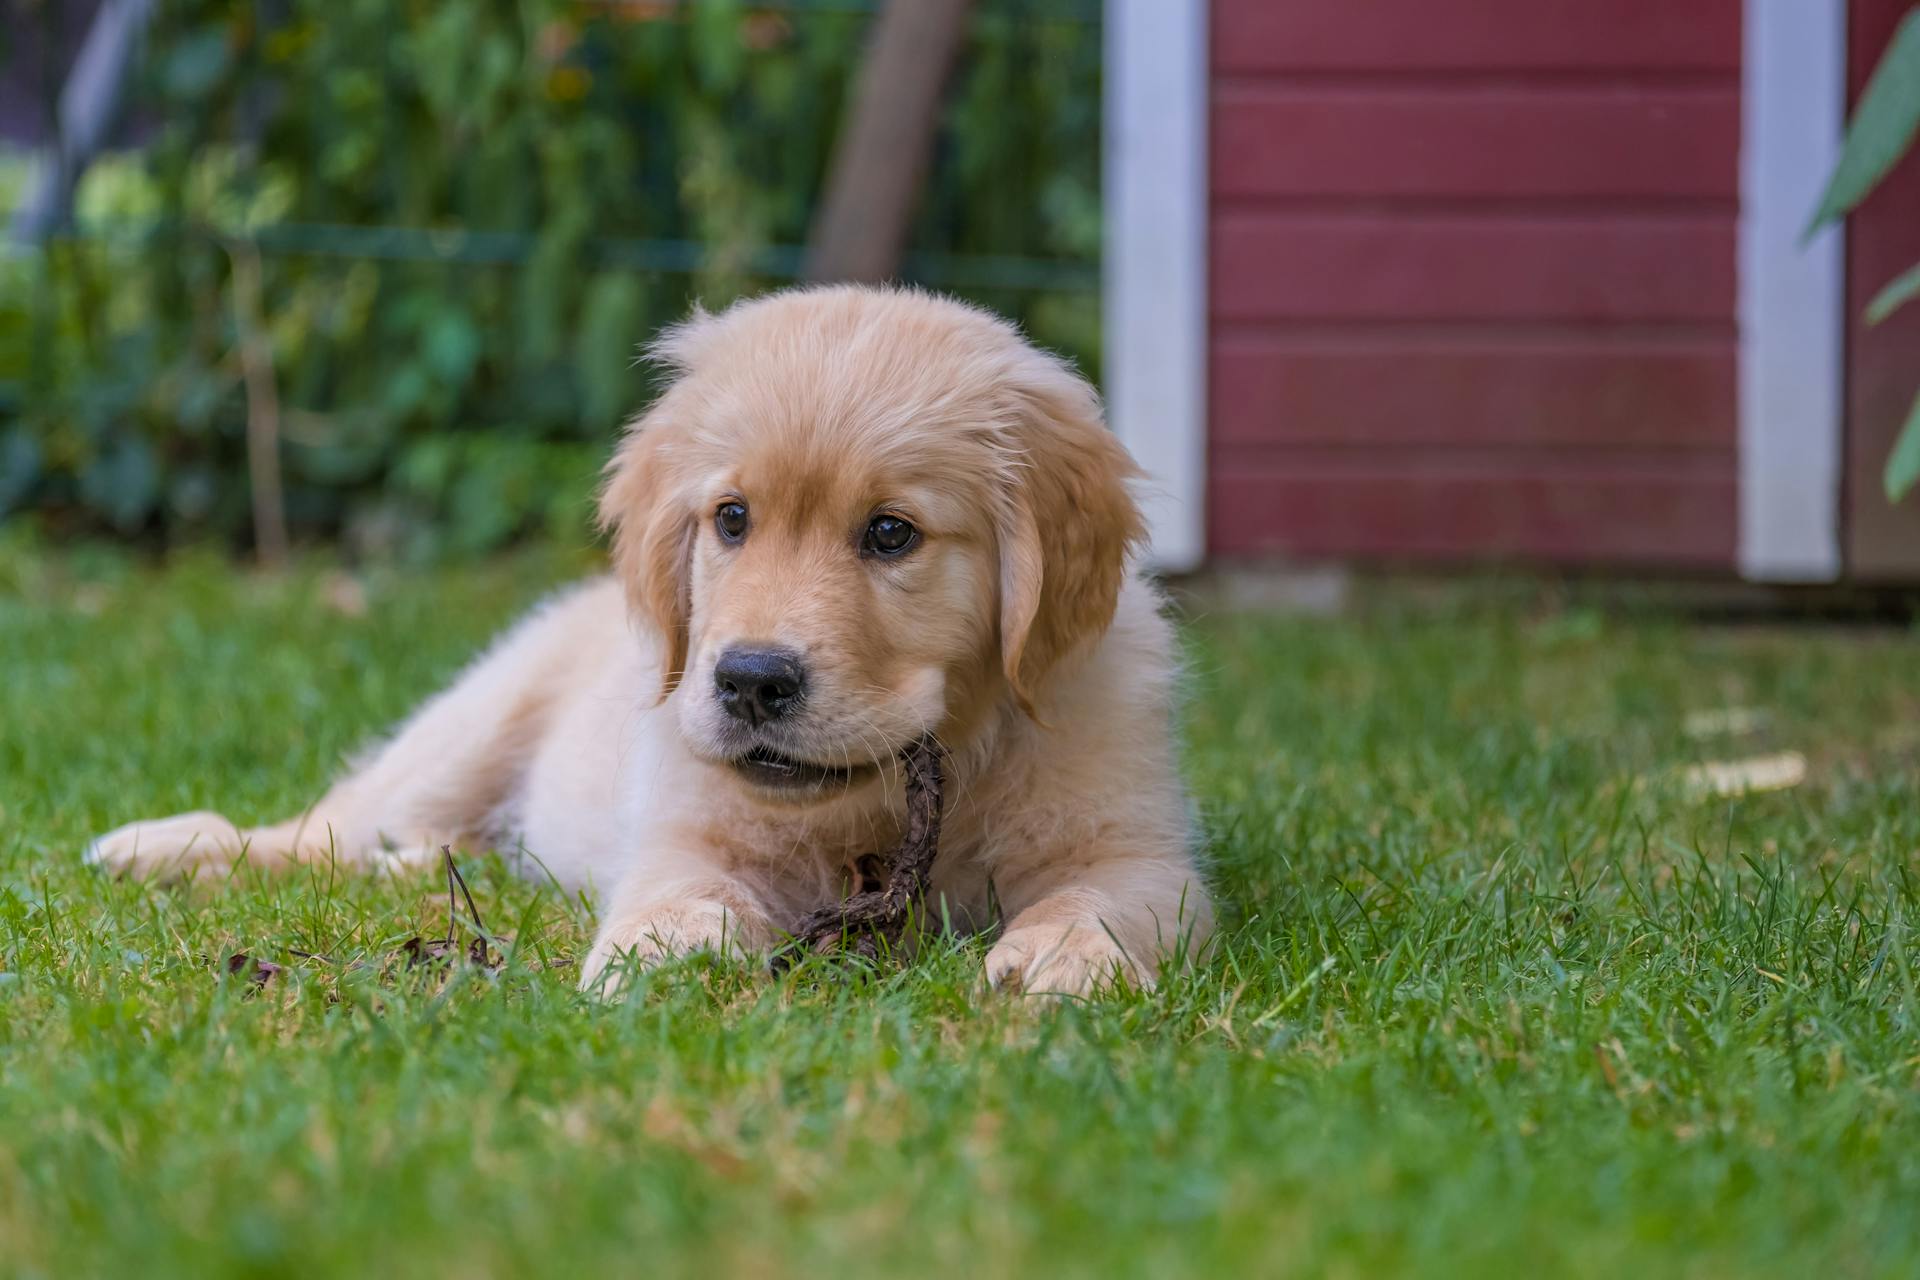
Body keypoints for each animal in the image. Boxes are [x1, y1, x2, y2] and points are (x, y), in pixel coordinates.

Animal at [90, 285, 1213, 997]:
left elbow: (1105, 897)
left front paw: (1063, 955)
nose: (751, 680)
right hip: (468, 729)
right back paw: (170, 850)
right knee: (327, 831)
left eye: (892, 533)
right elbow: (685, 890)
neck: (890, 796)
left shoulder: (1144, 851)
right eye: (731, 519)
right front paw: (664, 951)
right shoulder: (686, 829)